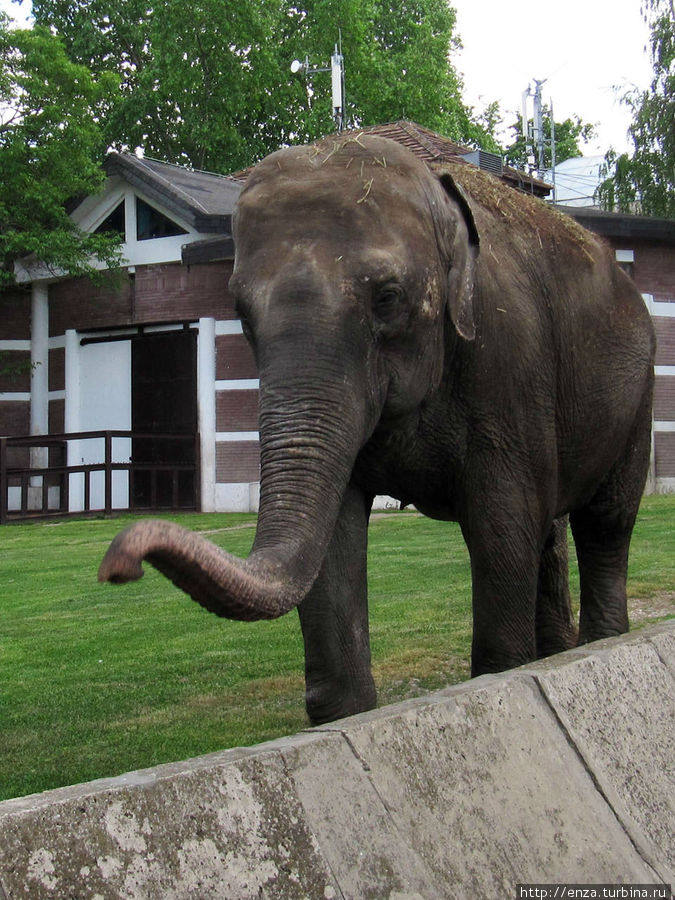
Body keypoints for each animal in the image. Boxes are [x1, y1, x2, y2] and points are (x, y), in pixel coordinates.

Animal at [99, 132, 656, 724]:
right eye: (241, 312)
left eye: (387, 297)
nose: (118, 566)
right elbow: (335, 539)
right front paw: (347, 713)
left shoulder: (510, 359)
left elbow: (502, 524)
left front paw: (502, 674)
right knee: (551, 526)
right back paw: (556, 652)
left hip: (637, 392)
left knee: (605, 521)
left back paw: (600, 641)